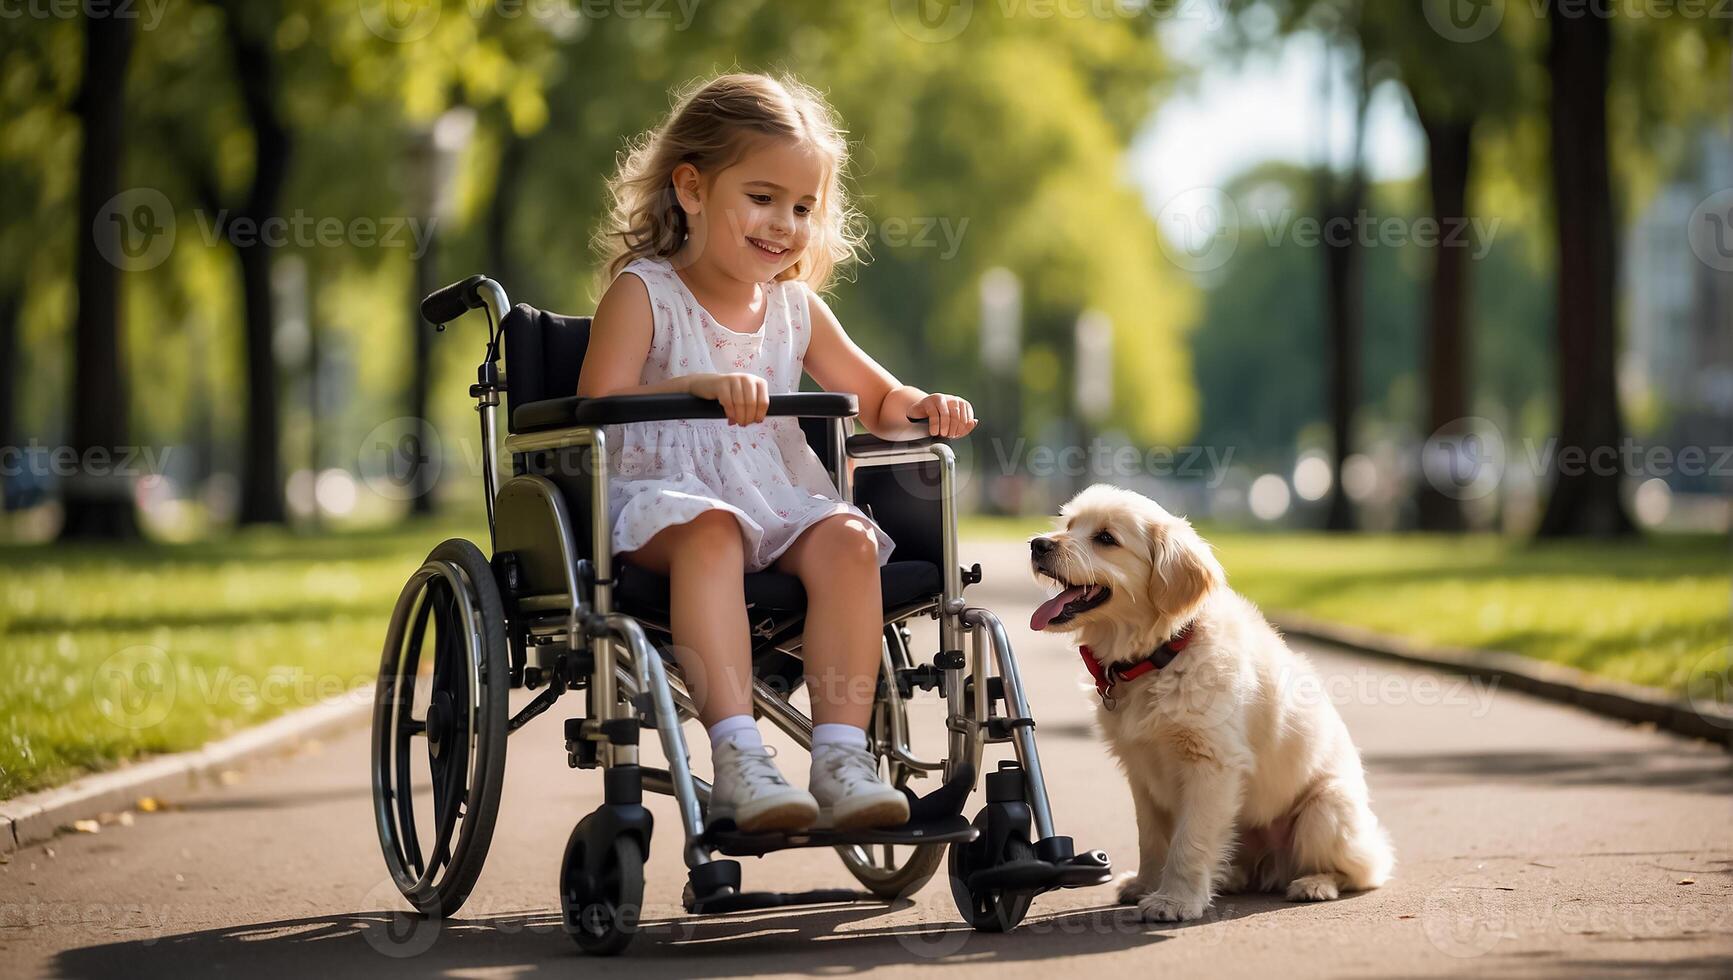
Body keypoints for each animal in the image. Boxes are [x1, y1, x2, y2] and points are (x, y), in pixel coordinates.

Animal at [1025, 485, 1393, 922]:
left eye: (1106, 539)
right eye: (1068, 525)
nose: (1037, 544)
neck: (1161, 652)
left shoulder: (1211, 764)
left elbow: (1189, 840)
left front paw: (1174, 900)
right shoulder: (1140, 770)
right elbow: (1152, 837)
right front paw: (1146, 885)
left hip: (1325, 810)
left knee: (1365, 870)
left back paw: (1315, 883)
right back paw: (1231, 877)